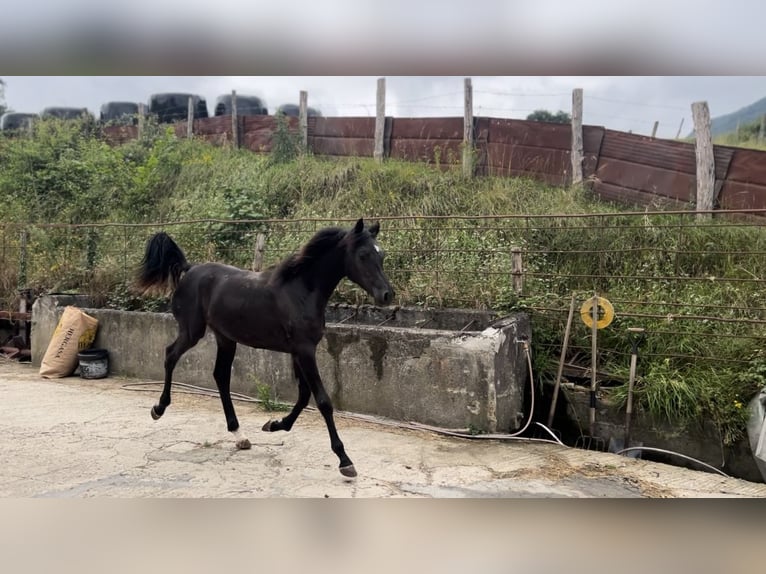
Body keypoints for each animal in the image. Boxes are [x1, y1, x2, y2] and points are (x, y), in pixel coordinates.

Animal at [134, 218, 392, 480]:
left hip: (225, 339)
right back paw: (158, 408)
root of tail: (190, 268)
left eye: (381, 255)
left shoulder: (298, 352)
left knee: (220, 376)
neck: (301, 291)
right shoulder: (304, 351)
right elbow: (322, 401)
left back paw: (239, 435)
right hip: (191, 332)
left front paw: (275, 425)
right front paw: (344, 460)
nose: (386, 295)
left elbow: (303, 396)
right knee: (170, 355)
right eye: (363, 255)